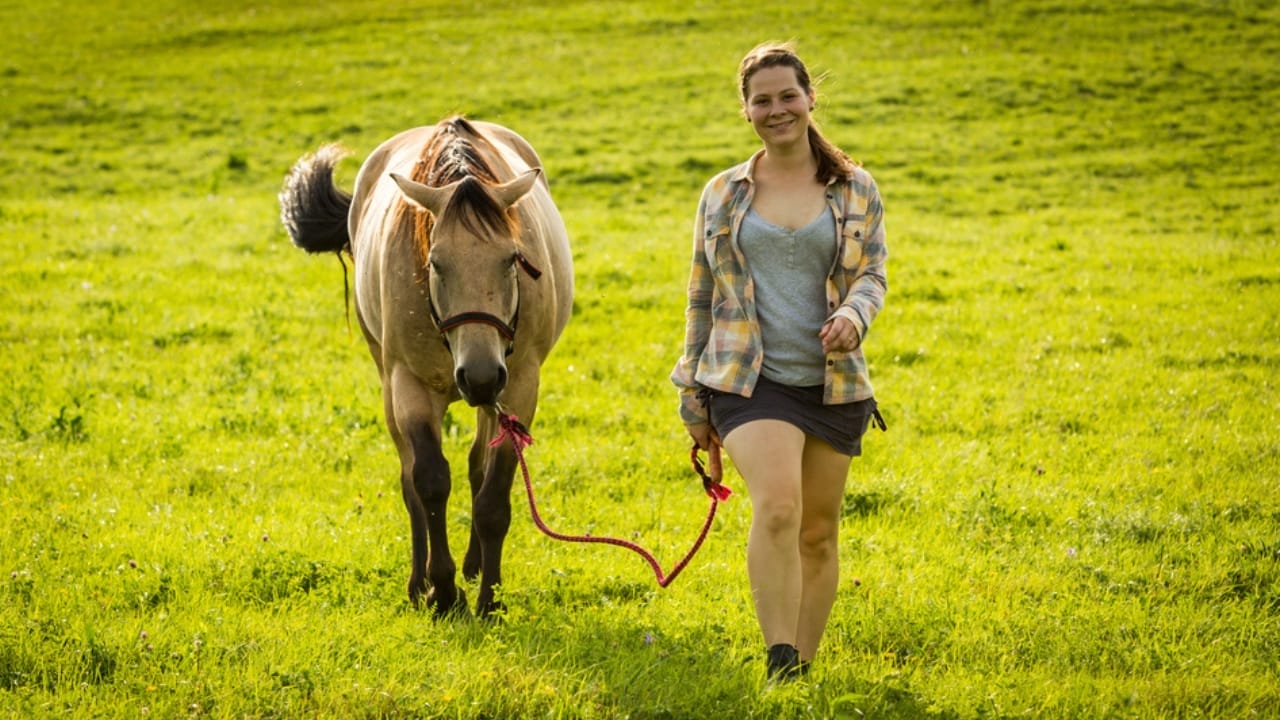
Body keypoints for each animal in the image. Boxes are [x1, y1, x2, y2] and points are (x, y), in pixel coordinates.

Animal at [279, 117, 573, 617]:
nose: (479, 375)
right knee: (408, 475)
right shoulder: (410, 387)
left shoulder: (518, 387)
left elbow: (493, 496)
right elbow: (429, 482)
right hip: (389, 378)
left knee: (477, 465)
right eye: (436, 263)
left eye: (512, 260)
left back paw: (473, 566)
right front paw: (442, 592)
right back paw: (420, 583)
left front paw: (488, 598)